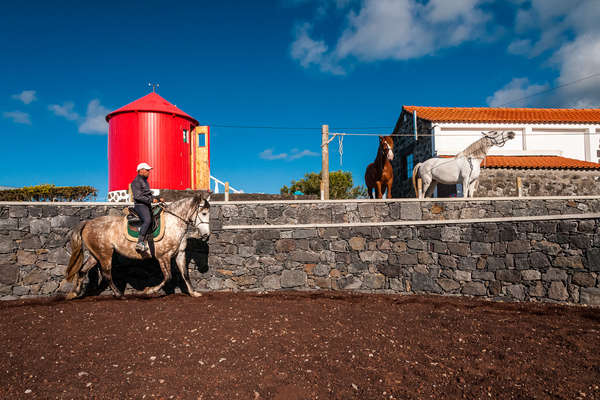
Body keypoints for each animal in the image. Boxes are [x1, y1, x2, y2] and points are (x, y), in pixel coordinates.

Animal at [61, 195, 211, 298]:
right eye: (204, 213)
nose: (206, 235)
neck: (174, 222)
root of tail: (87, 223)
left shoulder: (180, 254)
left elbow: (185, 274)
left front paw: (193, 293)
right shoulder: (163, 256)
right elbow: (168, 276)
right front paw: (149, 290)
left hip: (96, 254)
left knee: (82, 271)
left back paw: (74, 293)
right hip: (105, 254)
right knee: (106, 274)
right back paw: (119, 295)